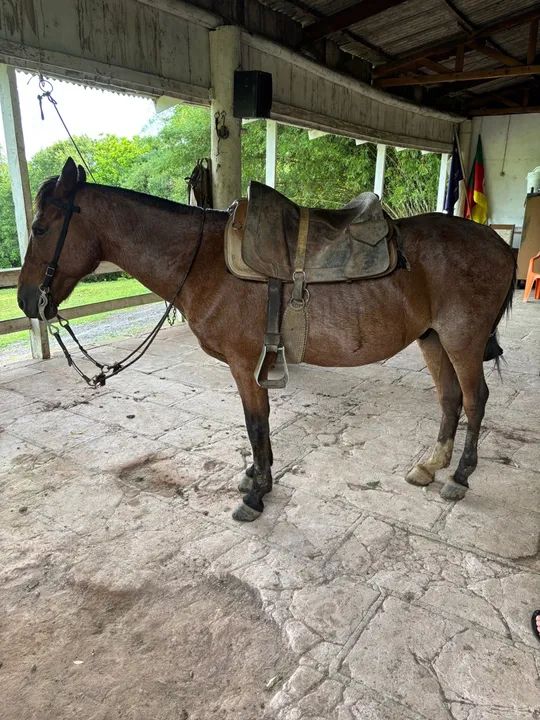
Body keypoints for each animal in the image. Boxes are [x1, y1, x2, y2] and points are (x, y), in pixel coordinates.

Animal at [18, 158, 516, 522]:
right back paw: (431, 466)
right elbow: (258, 427)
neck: (203, 262)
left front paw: (256, 494)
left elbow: (256, 424)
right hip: (433, 340)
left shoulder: (245, 364)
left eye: (40, 229)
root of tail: (500, 245)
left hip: (462, 341)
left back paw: (460, 478)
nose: (25, 301)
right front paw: (257, 476)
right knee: (451, 398)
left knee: (475, 400)